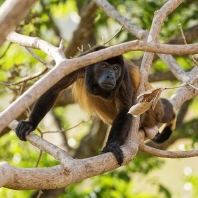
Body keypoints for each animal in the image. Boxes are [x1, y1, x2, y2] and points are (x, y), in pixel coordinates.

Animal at [16, 45, 176, 166]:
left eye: (115, 68)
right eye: (104, 66)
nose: (110, 76)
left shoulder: (124, 76)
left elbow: (125, 109)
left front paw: (111, 145)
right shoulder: (80, 62)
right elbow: (54, 88)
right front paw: (31, 123)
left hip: (154, 111)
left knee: (165, 112)